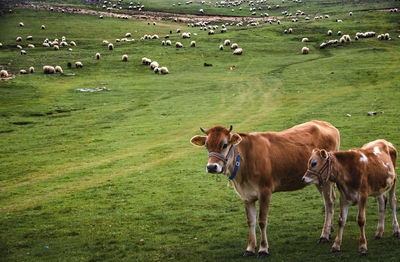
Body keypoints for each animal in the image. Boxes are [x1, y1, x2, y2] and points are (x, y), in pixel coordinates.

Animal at [189, 122, 340, 256]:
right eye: (207, 145)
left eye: (224, 144)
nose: (211, 167)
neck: (244, 162)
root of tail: (327, 125)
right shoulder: (246, 196)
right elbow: (250, 221)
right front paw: (250, 248)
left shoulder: (265, 191)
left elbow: (262, 221)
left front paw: (263, 249)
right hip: (317, 180)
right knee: (329, 200)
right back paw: (330, 230)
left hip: (325, 178)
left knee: (329, 202)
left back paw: (324, 235)